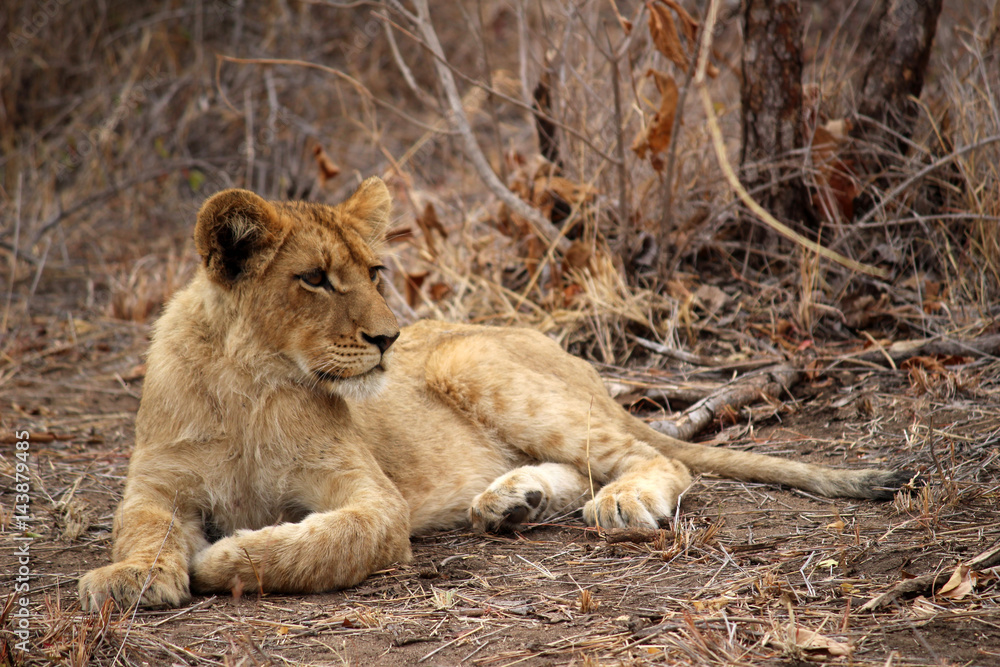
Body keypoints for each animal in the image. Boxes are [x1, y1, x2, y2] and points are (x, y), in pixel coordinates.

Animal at [78, 177, 915, 610]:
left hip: (480, 363)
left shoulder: (371, 498)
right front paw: (130, 579)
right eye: (314, 279)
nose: (388, 337)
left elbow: (324, 541)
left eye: (374, 271)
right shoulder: (154, 487)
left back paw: (619, 503)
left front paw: (229, 555)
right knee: (581, 465)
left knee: (652, 457)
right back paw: (512, 501)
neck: (251, 380)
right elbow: (142, 531)